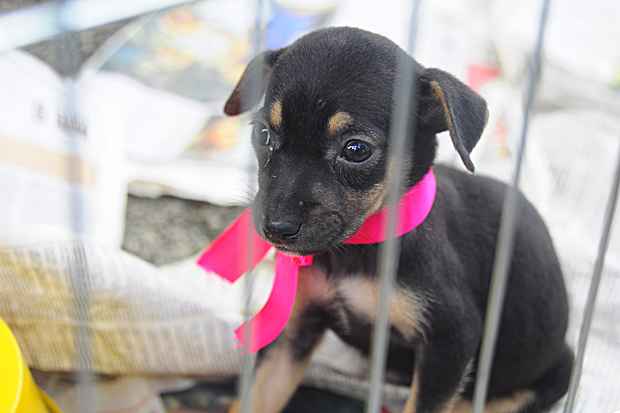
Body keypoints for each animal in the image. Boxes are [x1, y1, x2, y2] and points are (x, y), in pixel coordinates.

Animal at [223, 28, 572, 412]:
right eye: (262, 134)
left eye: (356, 150)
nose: (276, 227)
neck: (360, 246)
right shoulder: (295, 326)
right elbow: (257, 395)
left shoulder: (450, 340)